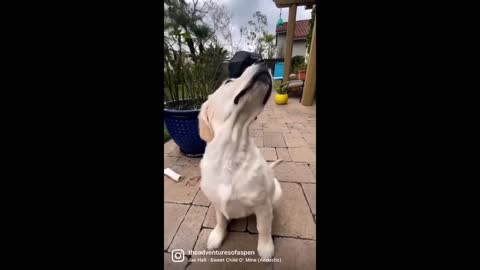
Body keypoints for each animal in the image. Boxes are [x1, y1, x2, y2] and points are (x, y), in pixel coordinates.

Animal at [198, 59, 284, 260]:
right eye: (228, 81)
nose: (262, 61)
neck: (230, 152)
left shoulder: (262, 205)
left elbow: (263, 227)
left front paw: (266, 247)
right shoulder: (216, 202)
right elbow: (221, 220)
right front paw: (217, 236)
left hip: (277, 193)